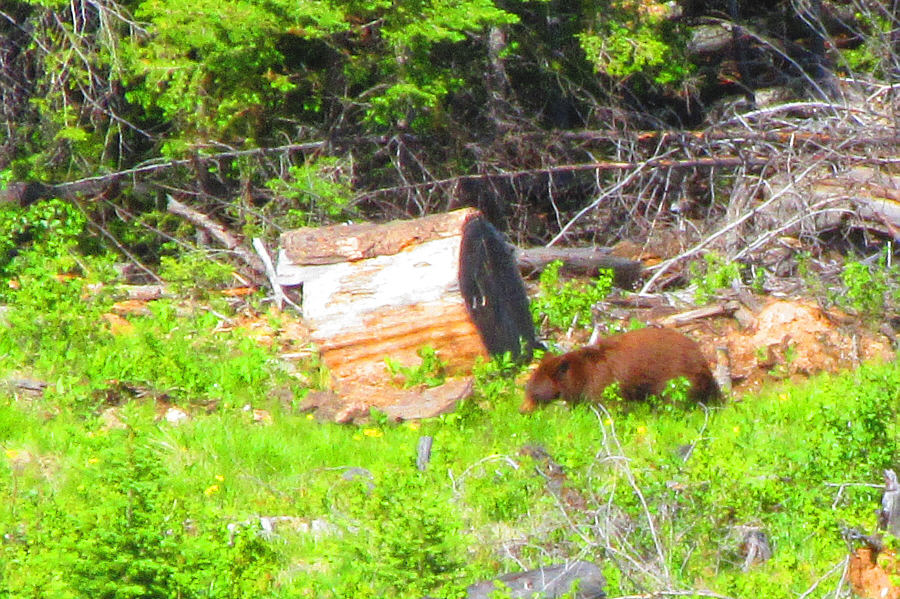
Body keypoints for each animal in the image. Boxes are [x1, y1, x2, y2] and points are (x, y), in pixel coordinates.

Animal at [521, 327, 719, 413]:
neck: (581, 374)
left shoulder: (602, 382)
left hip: (676, 378)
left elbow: (608, 405)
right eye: (527, 389)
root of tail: (702, 360)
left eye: (533, 392)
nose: (522, 410)